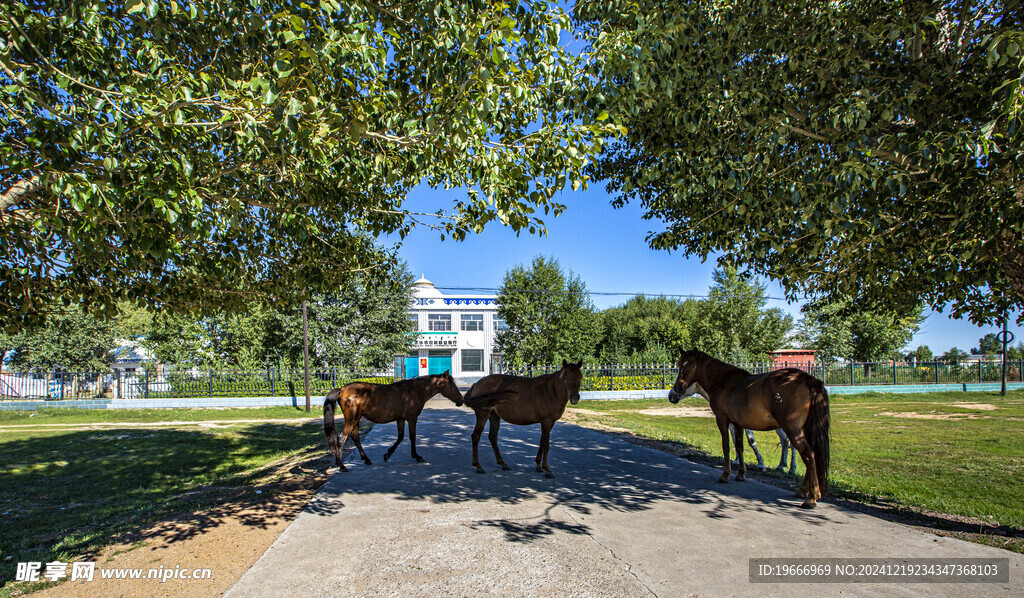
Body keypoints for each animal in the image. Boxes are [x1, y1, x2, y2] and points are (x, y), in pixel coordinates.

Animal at [323, 368, 460, 471]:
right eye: (452, 385)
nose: (460, 400)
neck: (416, 390)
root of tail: (342, 389)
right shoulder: (412, 418)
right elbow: (412, 436)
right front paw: (416, 456)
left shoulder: (400, 419)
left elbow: (400, 437)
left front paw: (387, 454)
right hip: (351, 419)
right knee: (341, 437)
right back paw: (341, 465)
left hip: (356, 420)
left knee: (355, 437)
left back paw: (366, 459)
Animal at [667, 350, 827, 509]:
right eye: (679, 364)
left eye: (691, 365)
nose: (674, 391)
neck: (723, 383)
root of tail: (808, 379)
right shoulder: (737, 424)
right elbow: (739, 446)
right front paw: (740, 473)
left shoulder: (723, 420)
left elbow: (728, 446)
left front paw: (726, 474)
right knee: (801, 450)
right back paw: (800, 486)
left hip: (791, 428)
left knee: (806, 453)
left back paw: (810, 496)